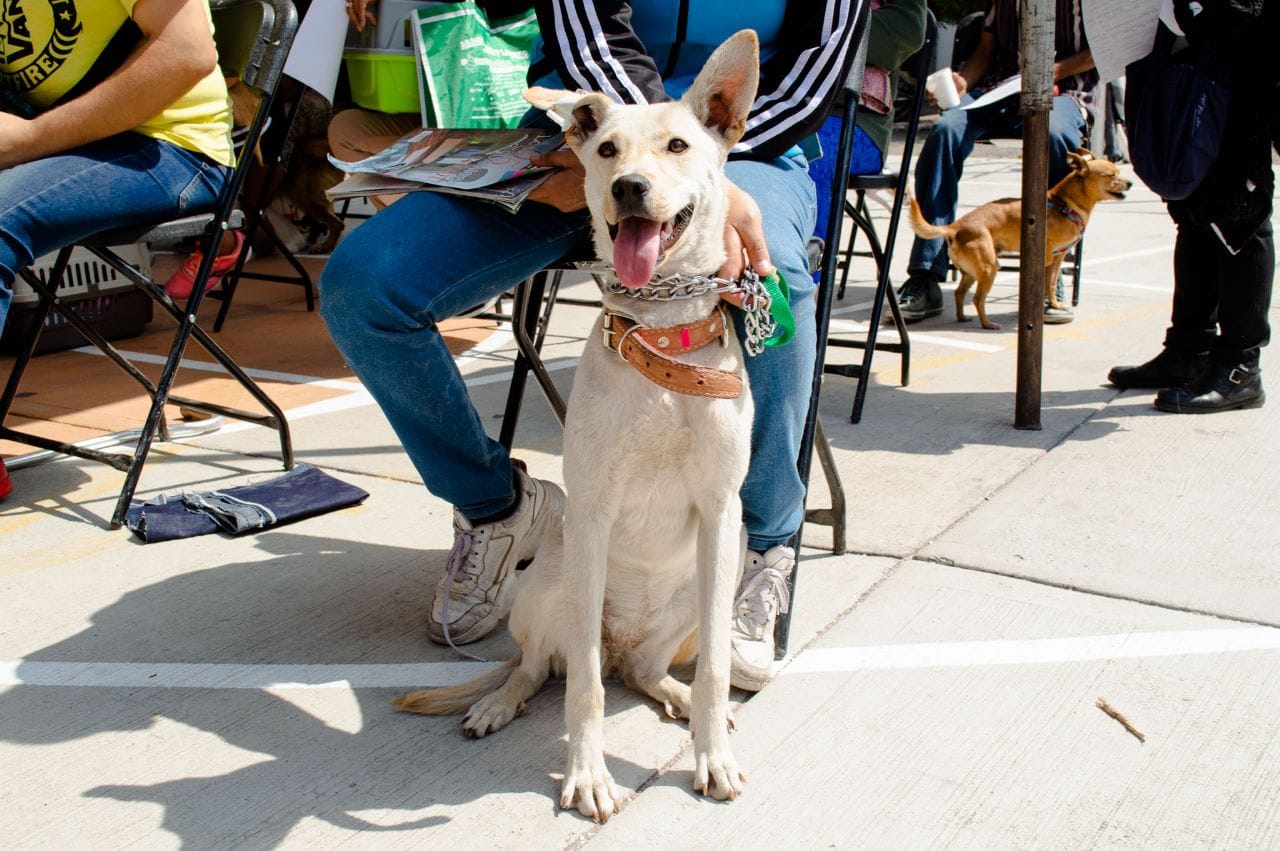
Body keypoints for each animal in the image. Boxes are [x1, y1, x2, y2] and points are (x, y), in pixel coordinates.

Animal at [394, 29, 762, 819]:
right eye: (607, 149)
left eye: (678, 145)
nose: (628, 188)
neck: (659, 338)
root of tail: (629, 645)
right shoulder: (591, 515)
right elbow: (584, 685)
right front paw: (588, 773)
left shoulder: (724, 515)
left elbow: (718, 667)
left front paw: (711, 751)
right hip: (548, 591)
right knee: (543, 667)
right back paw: (498, 703)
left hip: (697, 594)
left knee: (640, 672)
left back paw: (676, 695)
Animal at [906, 149, 1136, 327]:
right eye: (1111, 174)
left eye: (1119, 172)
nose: (1131, 182)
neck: (1065, 203)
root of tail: (955, 226)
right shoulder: (1047, 258)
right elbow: (1045, 284)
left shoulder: (1058, 258)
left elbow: (1052, 284)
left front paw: (1055, 305)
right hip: (989, 268)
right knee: (979, 299)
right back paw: (987, 324)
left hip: (972, 272)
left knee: (959, 293)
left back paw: (962, 317)